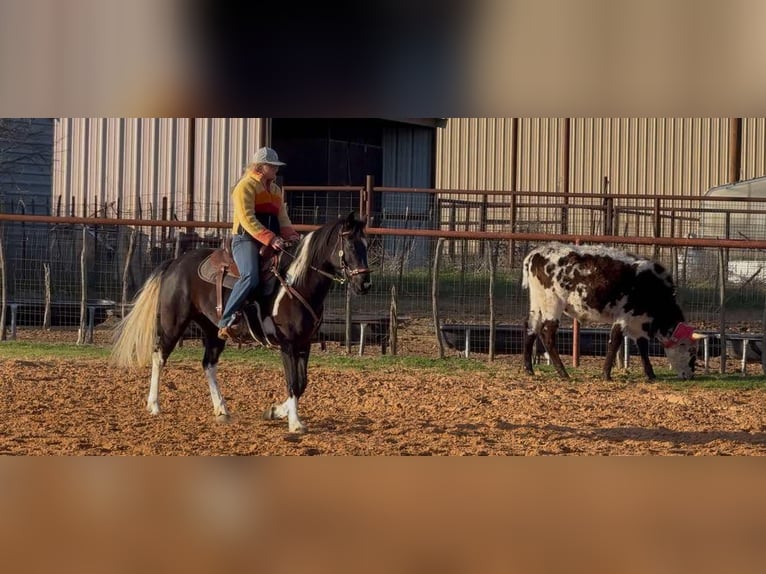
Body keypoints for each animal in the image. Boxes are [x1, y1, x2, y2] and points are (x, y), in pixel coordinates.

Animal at [111, 214, 372, 434]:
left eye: (366, 245)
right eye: (351, 245)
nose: (365, 285)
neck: (295, 284)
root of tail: (175, 263)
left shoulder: (304, 344)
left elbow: (302, 383)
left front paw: (276, 411)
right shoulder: (287, 345)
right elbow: (293, 382)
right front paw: (295, 423)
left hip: (213, 330)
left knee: (208, 364)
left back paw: (222, 410)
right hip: (173, 323)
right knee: (159, 356)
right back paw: (154, 405)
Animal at [520, 243, 708, 382]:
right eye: (692, 351)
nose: (690, 375)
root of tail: (536, 253)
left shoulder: (639, 323)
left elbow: (643, 347)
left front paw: (650, 374)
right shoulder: (624, 318)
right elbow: (615, 342)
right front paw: (606, 374)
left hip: (537, 303)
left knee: (531, 328)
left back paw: (529, 369)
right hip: (552, 304)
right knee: (548, 335)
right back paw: (562, 372)